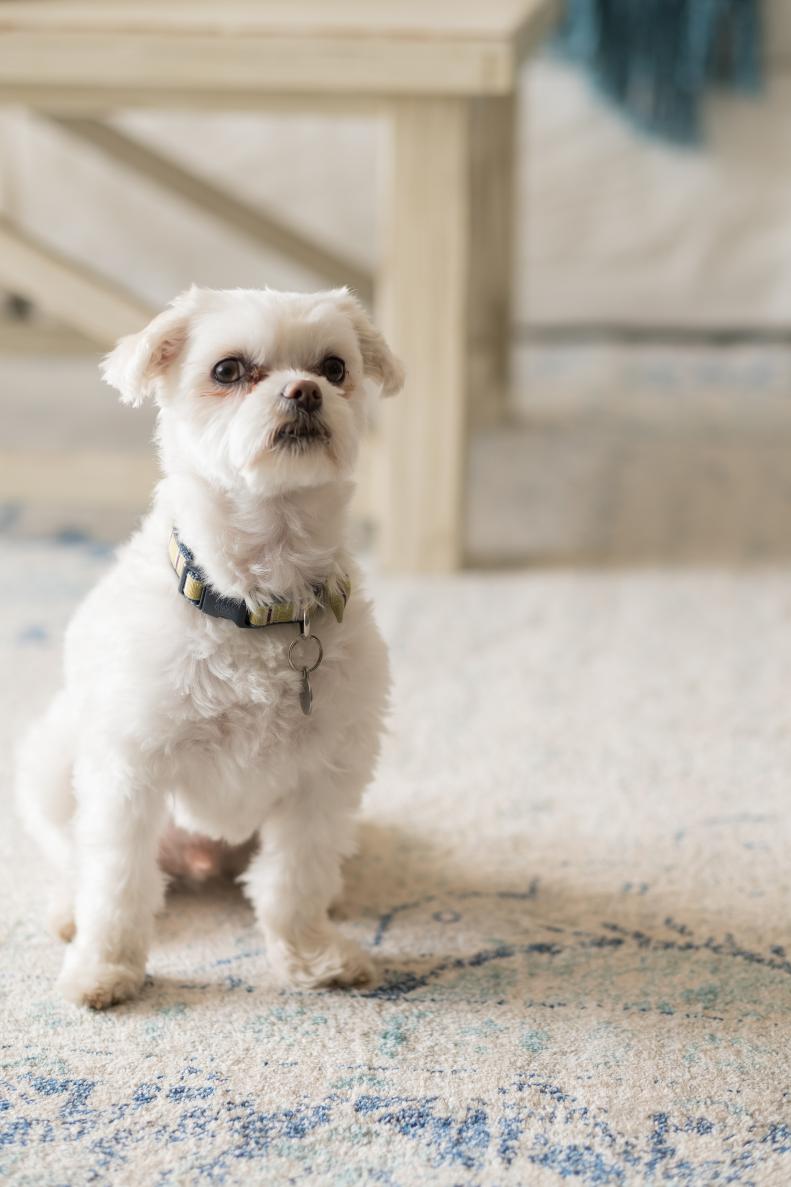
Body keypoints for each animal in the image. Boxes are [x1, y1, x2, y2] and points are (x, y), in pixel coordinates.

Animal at [13, 282, 401, 1006]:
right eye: (227, 369)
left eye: (334, 366)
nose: (305, 391)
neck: (260, 603)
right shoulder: (130, 771)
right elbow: (116, 883)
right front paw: (105, 966)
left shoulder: (327, 775)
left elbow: (294, 881)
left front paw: (310, 956)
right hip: (51, 762)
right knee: (73, 857)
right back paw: (66, 909)